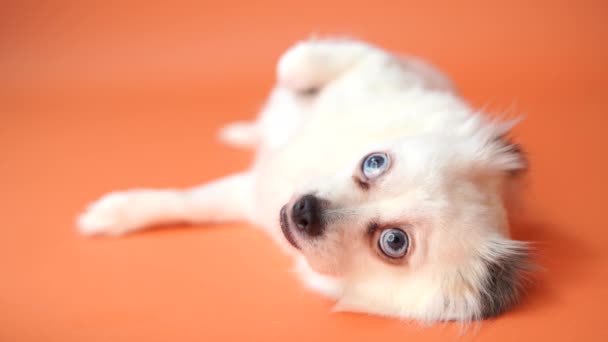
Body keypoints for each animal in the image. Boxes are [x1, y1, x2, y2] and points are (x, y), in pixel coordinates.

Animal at [78, 38, 528, 324]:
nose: (305, 209)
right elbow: (297, 61)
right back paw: (243, 131)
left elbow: (189, 205)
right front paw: (112, 214)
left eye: (394, 242)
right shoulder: (376, 65)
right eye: (374, 162)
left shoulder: (252, 198)